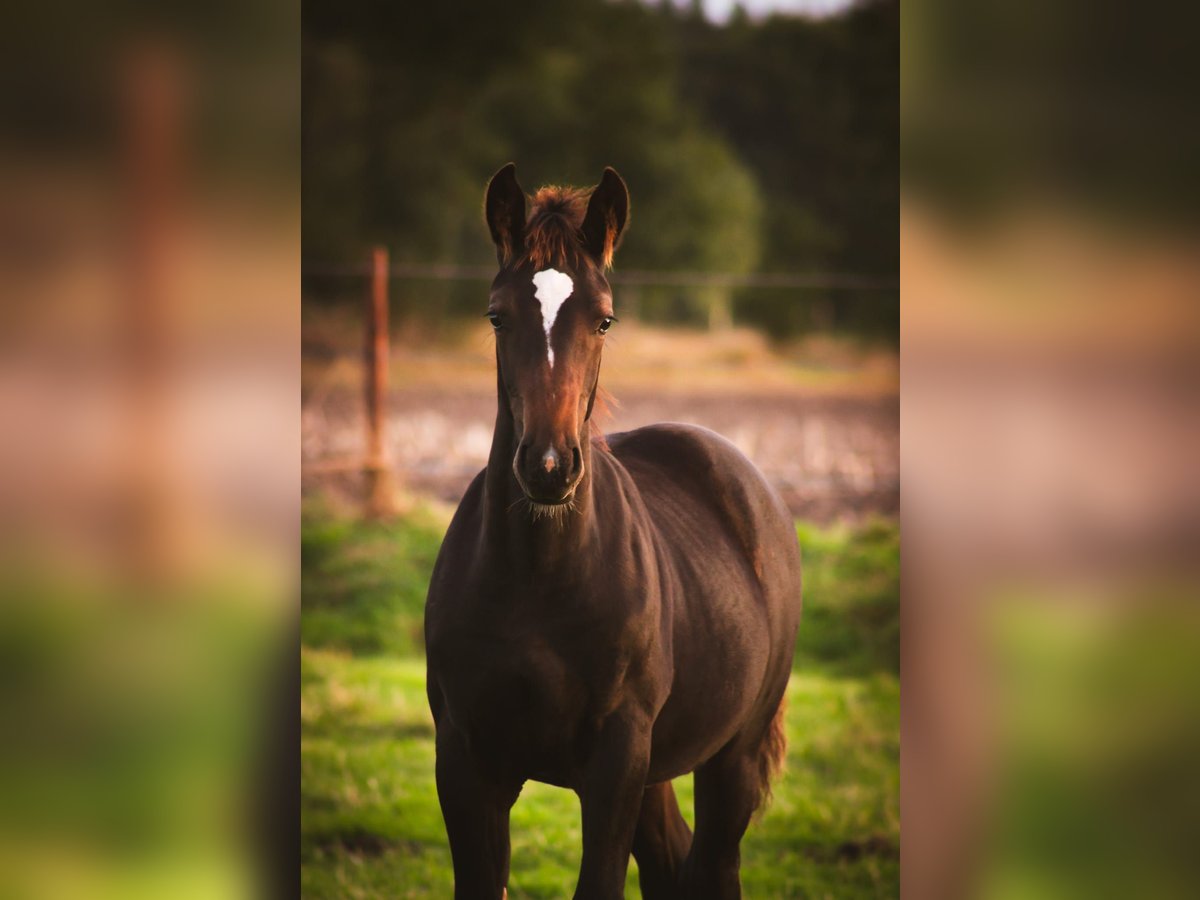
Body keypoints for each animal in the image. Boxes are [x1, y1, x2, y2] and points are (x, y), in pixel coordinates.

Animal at [424, 163, 802, 899]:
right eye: (496, 315)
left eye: (604, 319)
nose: (548, 467)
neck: (537, 581)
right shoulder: (465, 763)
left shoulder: (616, 761)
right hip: (659, 769)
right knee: (670, 861)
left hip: (730, 760)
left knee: (714, 864)